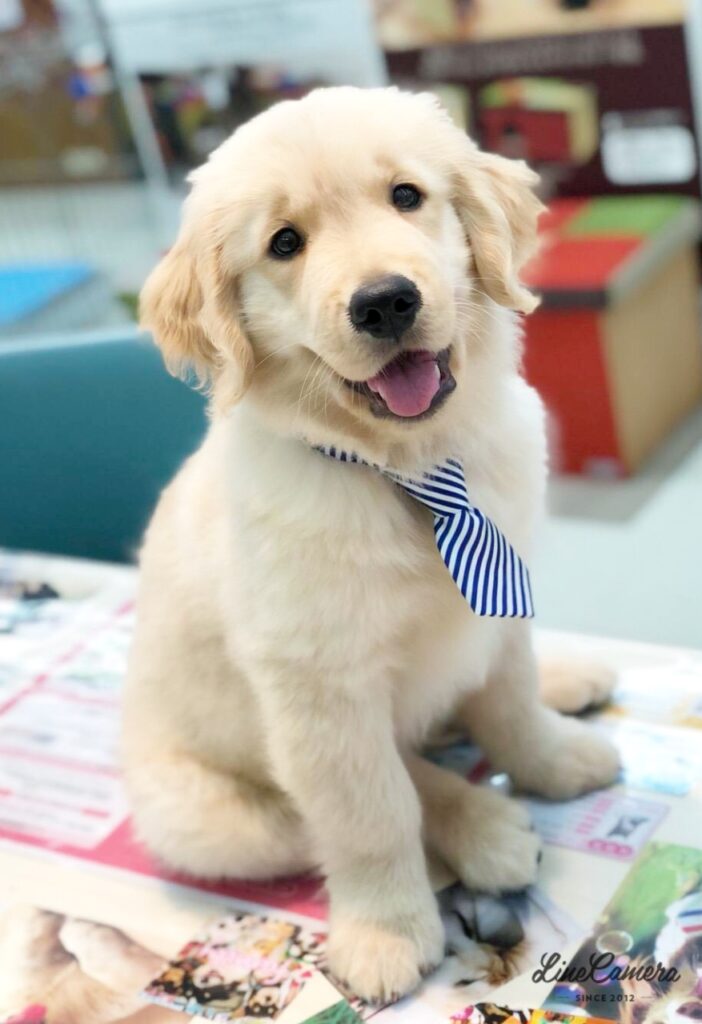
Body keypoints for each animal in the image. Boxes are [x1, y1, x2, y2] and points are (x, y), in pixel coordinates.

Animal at [123, 86, 618, 999]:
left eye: (406, 196)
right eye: (285, 243)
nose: (385, 302)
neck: (408, 471)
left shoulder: (500, 604)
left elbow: (511, 702)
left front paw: (552, 761)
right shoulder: (320, 688)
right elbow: (371, 813)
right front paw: (385, 933)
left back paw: (569, 685)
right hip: (203, 816)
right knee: (371, 792)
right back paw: (484, 829)